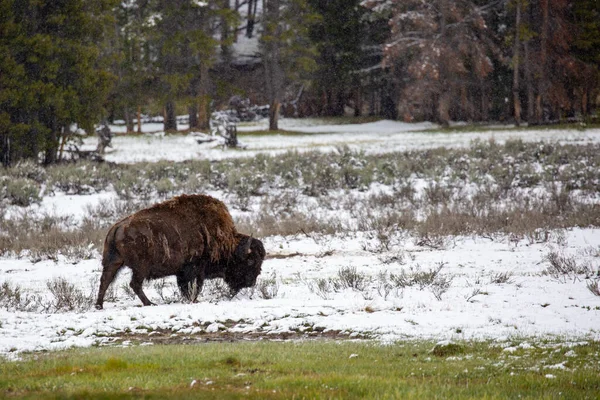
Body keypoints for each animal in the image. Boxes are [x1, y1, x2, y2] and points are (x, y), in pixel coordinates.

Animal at [95, 194, 264, 310]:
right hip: (140, 268)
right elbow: (193, 287)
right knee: (134, 284)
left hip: (114, 262)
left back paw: (99, 306)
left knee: (105, 281)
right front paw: (193, 300)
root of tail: (118, 227)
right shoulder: (194, 270)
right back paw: (150, 303)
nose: (251, 282)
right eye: (250, 261)